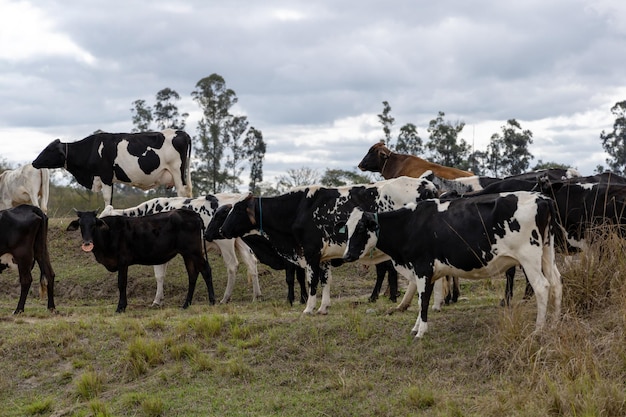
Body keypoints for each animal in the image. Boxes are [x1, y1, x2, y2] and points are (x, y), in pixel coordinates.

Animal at [31, 127, 191, 205]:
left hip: (177, 171)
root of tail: (181, 132)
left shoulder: (105, 176)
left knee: (182, 192)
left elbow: (107, 198)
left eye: (49, 149)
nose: (34, 162)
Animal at [67, 208, 214, 312]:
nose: (87, 243)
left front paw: (120, 307)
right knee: (192, 275)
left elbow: (122, 283)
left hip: (194, 251)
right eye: (80, 225)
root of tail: (193, 214)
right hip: (187, 254)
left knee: (206, 270)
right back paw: (186, 304)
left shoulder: (123, 262)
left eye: (93, 224)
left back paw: (212, 301)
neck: (108, 233)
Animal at [207, 174, 436, 314]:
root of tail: (427, 185)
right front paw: (323, 307)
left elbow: (312, 281)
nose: (221, 231)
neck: (299, 207)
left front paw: (308, 308)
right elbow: (326, 281)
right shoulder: (324, 256)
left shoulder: (310, 252)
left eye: (236, 210)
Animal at [342, 191, 560, 338]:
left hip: (529, 257)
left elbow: (423, 300)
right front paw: (417, 327)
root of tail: (541, 198)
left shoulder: (422, 268)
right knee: (556, 282)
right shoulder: (428, 272)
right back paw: (554, 321)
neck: (409, 224)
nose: (347, 255)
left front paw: (420, 332)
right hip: (547, 252)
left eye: (360, 228)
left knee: (542, 286)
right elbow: (423, 299)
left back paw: (538, 329)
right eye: (347, 229)